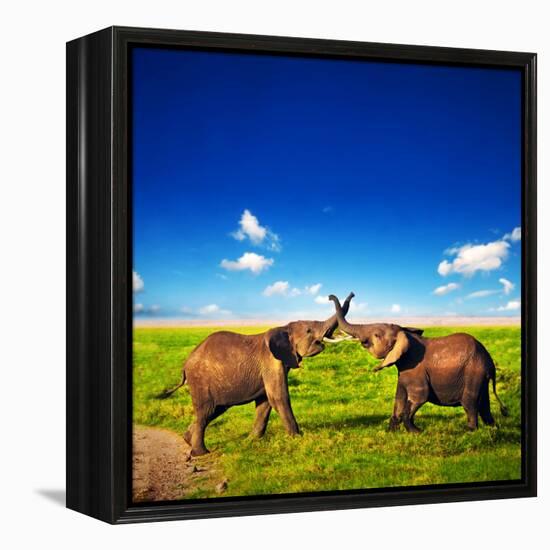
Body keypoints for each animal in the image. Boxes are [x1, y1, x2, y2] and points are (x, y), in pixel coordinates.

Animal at [158, 294, 354, 458]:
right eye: (308, 331)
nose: (330, 296)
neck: (284, 328)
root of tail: (185, 364)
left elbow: (265, 402)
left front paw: (251, 441)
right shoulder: (271, 362)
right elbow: (278, 397)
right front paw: (297, 438)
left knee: (213, 411)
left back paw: (187, 439)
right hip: (200, 381)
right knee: (205, 411)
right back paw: (201, 453)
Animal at [330, 296, 512, 434]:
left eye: (376, 335)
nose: (331, 296)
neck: (405, 334)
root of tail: (489, 362)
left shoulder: (416, 370)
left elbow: (419, 397)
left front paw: (417, 432)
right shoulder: (404, 371)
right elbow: (399, 398)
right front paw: (391, 432)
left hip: (473, 372)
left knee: (470, 403)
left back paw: (469, 432)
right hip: (480, 376)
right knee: (483, 404)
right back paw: (493, 428)